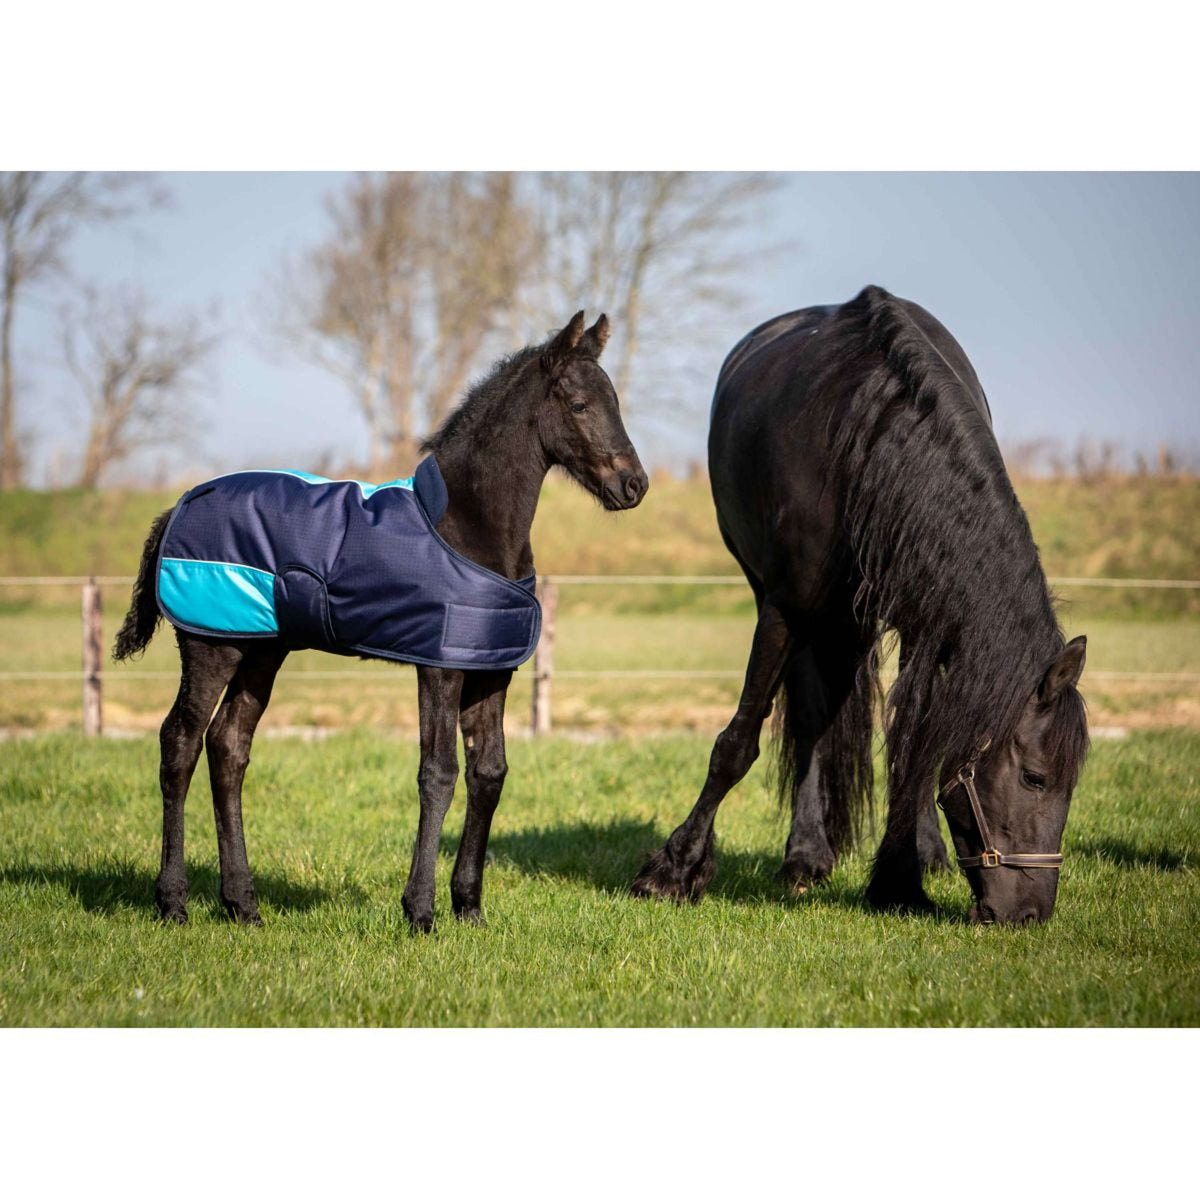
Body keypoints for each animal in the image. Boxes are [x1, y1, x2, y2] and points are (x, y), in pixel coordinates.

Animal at [113, 311, 648, 932]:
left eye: (616, 401)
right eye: (580, 404)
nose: (634, 485)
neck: (466, 527)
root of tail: (178, 506)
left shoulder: (492, 670)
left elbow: (489, 773)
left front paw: (469, 908)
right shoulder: (439, 667)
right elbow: (438, 774)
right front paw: (421, 912)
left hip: (261, 649)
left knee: (228, 747)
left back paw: (242, 904)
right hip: (210, 644)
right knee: (180, 742)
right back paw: (173, 902)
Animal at [631, 285, 1089, 925]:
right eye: (1035, 777)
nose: (1030, 914)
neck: (875, 446)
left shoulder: (928, 627)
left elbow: (915, 744)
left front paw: (900, 876)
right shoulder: (785, 609)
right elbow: (738, 744)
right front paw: (672, 871)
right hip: (793, 608)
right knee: (808, 721)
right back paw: (804, 856)